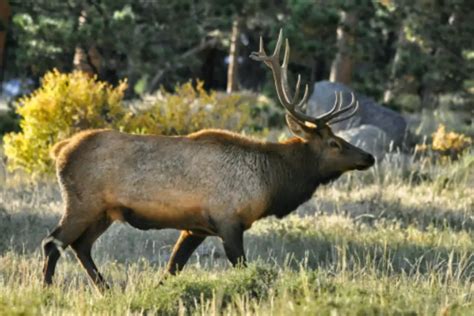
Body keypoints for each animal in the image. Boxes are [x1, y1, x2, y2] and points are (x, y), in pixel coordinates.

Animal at [41, 30, 374, 290]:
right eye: (334, 143)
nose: (368, 156)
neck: (271, 183)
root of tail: (60, 149)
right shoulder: (229, 220)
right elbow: (241, 267)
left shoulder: (196, 227)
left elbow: (172, 268)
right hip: (82, 203)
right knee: (53, 242)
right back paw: (48, 289)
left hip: (104, 212)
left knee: (80, 245)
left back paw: (105, 289)